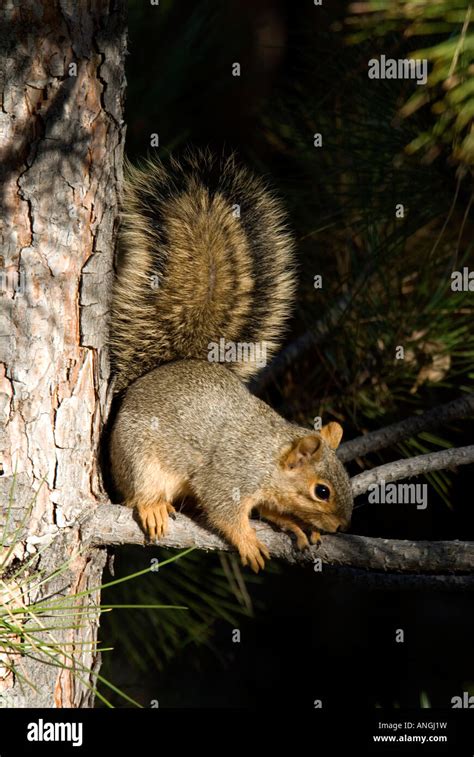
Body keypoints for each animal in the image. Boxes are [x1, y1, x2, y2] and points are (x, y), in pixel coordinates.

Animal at [108, 151, 352, 568]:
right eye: (322, 491)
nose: (339, 527)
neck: (270, 456)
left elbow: (272, 509)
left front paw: (294, 525)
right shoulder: (229, 475)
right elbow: (224, 510)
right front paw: (248, 540)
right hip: (138, 454)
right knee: (139, 488)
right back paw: (152, 505)